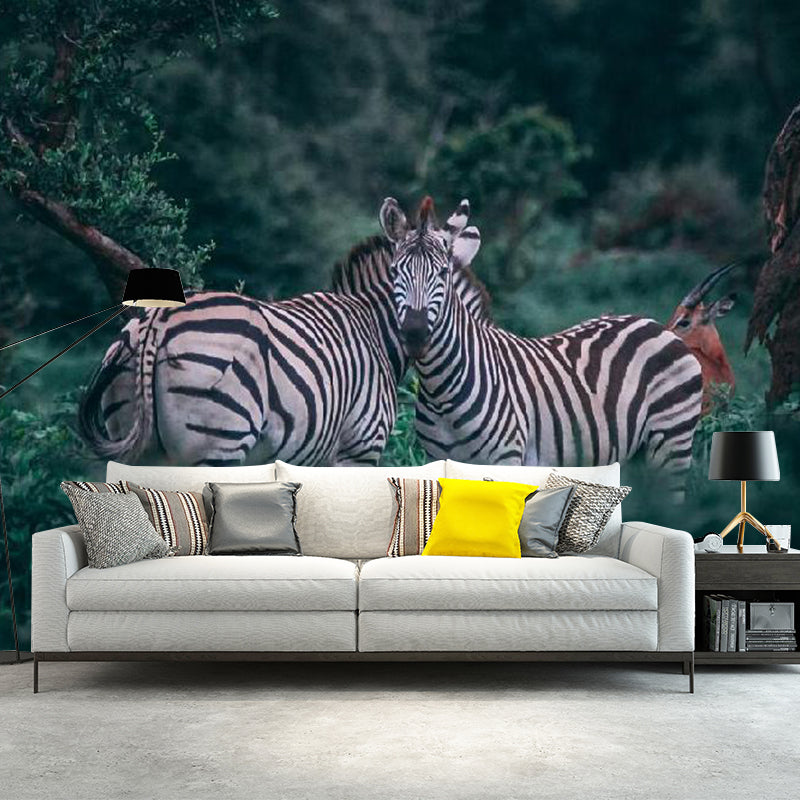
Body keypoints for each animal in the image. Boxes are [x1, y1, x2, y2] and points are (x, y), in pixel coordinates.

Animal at [80, 227, 490, 467]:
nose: (416, 335)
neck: (375, 327)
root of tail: (156, 321)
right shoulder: (360, 446)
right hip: (218, 442)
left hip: (136, 442)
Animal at [380, 195, 704, 482]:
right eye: (394, 271)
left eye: (443, 273)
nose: (415, 334)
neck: (442, 391)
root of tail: (654, 324)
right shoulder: (437, 459)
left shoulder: (506, 459)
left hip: (672, 442)